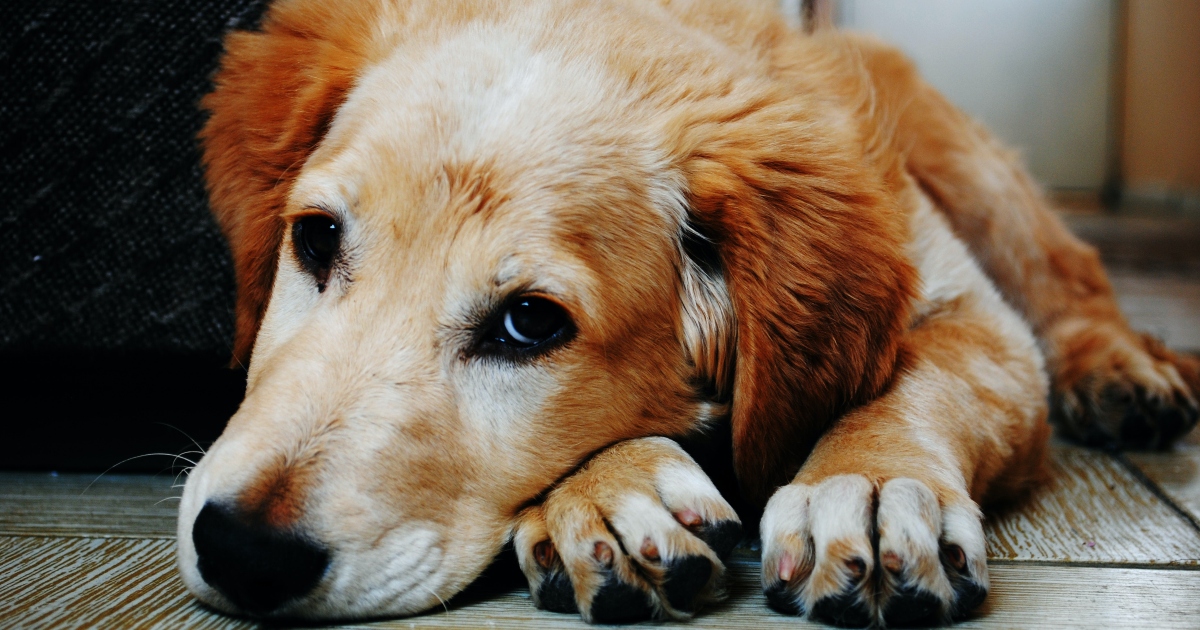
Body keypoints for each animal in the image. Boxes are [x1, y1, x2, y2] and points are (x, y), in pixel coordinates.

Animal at [177, 1, 1200, 624]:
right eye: (315, 240)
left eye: (530, 324)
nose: (241, 551)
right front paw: (613, 492)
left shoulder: (976, 320)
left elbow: (921, 384)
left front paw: (868, 485)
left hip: (973, 171)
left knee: (1070, 277)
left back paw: (1123, 372)